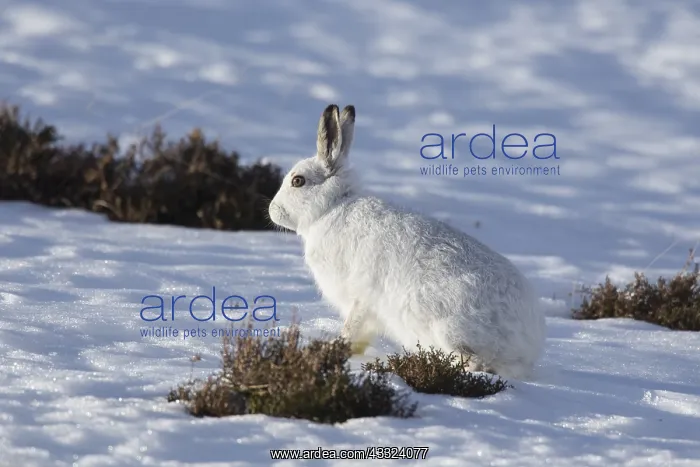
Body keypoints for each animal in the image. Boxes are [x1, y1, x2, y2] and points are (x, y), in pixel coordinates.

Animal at [268, 104, 547, 380]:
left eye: (298, 181)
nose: (272, 211)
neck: (332, 207)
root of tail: (525, 347)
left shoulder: (362, 299)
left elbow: (352, 329)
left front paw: (333, 348)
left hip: (446, 327)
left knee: (474, 362)